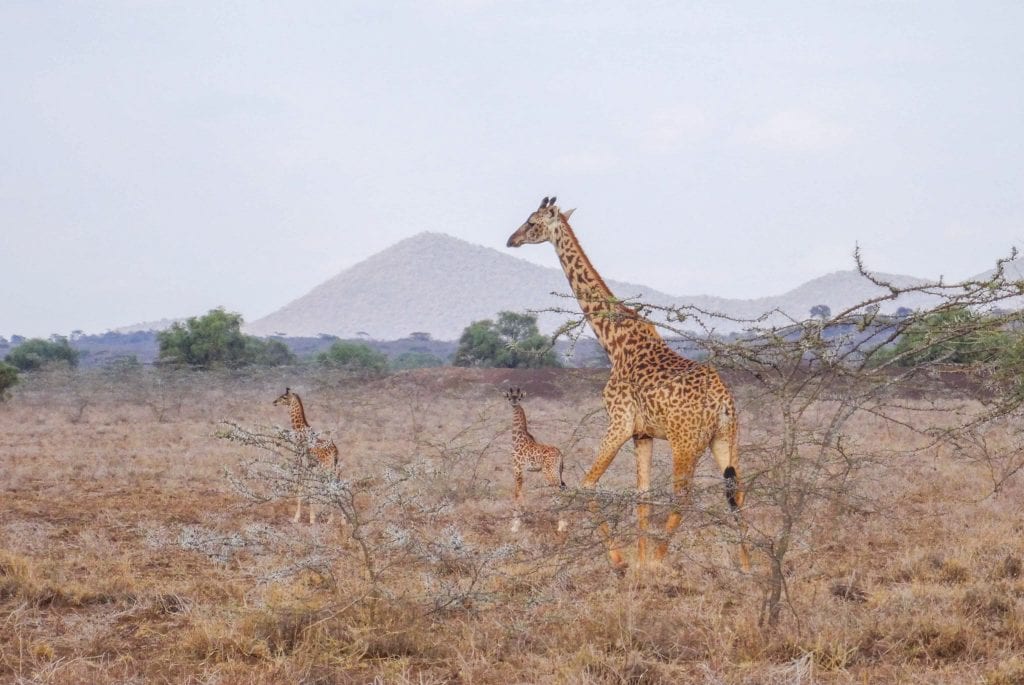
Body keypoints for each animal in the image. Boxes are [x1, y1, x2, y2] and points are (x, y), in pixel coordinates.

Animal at [272, 388, 340, 525]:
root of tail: (335, 450)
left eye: (284, 397)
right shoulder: (310, 465)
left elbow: (301, 486)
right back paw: (342, 521)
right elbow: (308, 487)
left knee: (332, 487)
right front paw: (311, 517)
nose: (274, 402)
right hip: (334, 468)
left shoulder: (299, 460)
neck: (299, 430)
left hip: (327, 468)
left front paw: (299, 518)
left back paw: (331, 520)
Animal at [504, 387, 567, 533]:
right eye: (509, 397)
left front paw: (515, 525)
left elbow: (516, 493)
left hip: (549, 472)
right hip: (559, 472)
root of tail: (560, 454)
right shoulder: (523, 470)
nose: (514, 402)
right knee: (563, 488)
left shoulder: (517, 467)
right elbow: (520, 492)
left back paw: (560, 526)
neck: (518, 438)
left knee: (557, 491)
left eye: (519, 397)